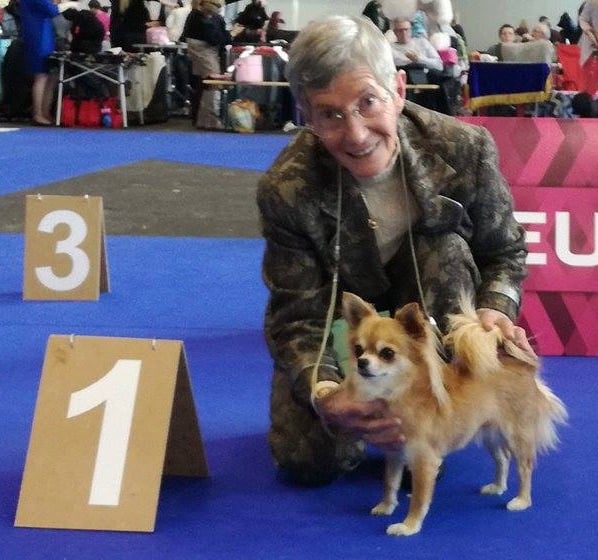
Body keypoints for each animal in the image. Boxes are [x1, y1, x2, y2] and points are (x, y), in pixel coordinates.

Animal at [340, 292, 568, 537]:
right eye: (358, 350)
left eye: (387, 353)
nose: (362, 363)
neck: (399, 392)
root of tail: (522, 364)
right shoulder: (395, 453)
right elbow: (389, 483)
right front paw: (386, 506)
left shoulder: (424, 461)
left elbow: (418, 498)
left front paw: (409, 525)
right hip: (489, 433)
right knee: (503, 458)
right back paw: (497, 486)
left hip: (517, 435)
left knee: (525, 467)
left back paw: (522, 500)